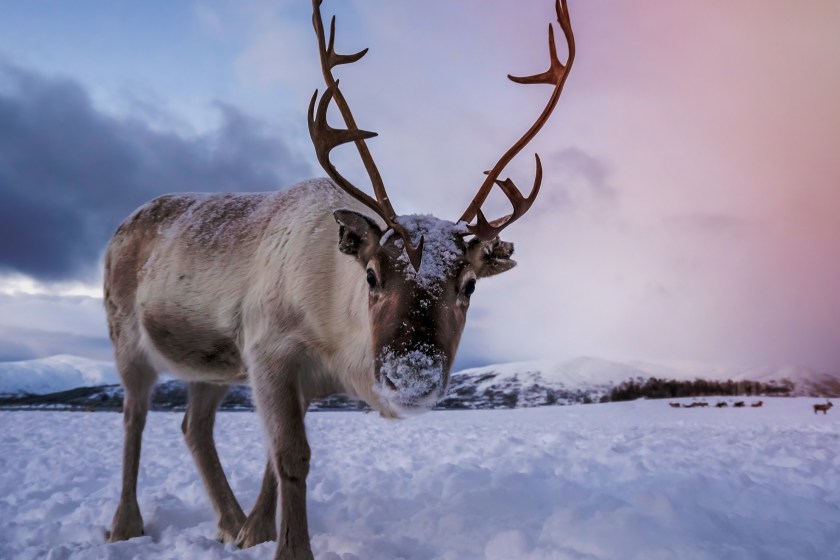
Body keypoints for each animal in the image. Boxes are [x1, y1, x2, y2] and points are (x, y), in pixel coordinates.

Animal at [102, 1, 576, 559]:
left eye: (470, 285)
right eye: (371, 275)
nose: (410, 377)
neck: (334, 338)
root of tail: (123, 224)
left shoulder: (299, 380)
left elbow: (273, 461)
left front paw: (255, 533)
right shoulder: (267, 351)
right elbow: (291, 457)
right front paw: (288, 547)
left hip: (209, 367)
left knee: (194, 428)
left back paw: (228, 522)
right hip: (126, 338)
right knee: (133, 417)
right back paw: (125, 524)